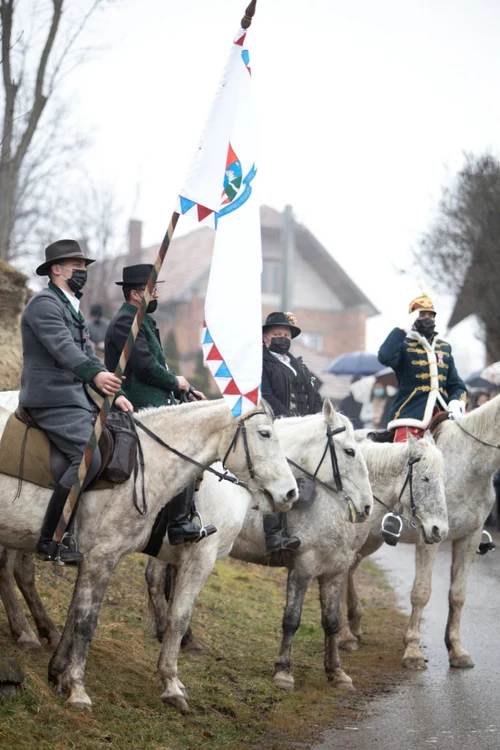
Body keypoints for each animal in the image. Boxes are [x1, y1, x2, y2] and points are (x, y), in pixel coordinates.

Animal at [0, 400, 296, 712]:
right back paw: (28, 633)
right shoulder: (130, 556)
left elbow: (76, 613)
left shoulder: (97, 557)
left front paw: (59, 673)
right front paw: (81, 689)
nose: (291, 493)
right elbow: (96, 621)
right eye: (264, 433)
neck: (149, 464)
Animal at [145, 412, 446, 712]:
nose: (439, 531)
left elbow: (331, 622)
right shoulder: (303, 567)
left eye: (444, 480)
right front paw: (284, 672)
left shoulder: (334, 572)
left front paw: (336, 673)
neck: (335, 501)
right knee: (157, 581)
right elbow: (292, 619)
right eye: (425, 479)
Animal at [340, 396, 500, 672]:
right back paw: (345, 634)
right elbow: (421, 593)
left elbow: (458, 595)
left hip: (369, 539)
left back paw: (355, 623)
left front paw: (456, 650)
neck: (471, 464)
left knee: (348, 569)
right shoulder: (430, 537)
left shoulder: (468, 538)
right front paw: (413, 651)